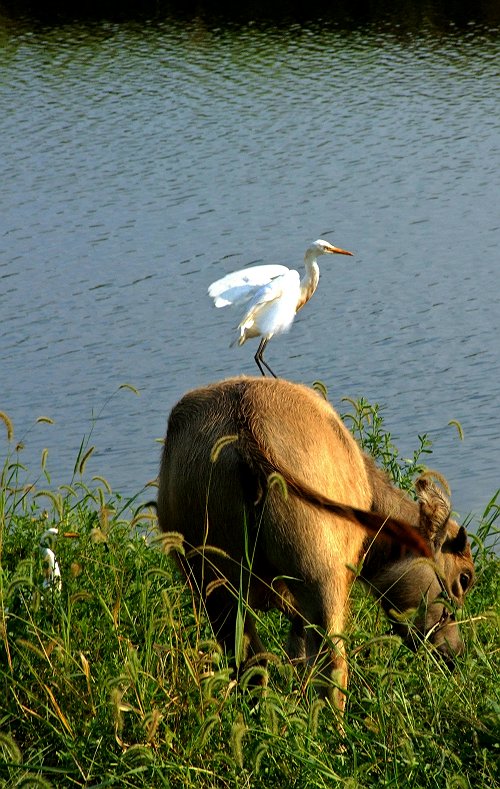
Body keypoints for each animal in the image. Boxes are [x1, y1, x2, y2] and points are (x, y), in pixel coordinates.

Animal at [158, 376, 474, 708]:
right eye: (464, 578)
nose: (455, 653)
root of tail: (246, 423)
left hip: (216, 588)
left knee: (250, 663)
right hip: (322, 583)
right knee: (331, 666)